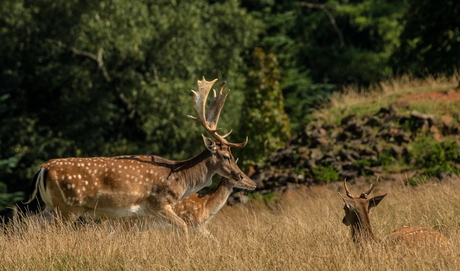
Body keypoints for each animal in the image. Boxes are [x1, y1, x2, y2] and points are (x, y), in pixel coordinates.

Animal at [25, 77, 256, 236]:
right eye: (226, 156)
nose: (243, 178)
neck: (181, 179)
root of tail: (44, 168)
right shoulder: (159, 202)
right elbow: (183, 226)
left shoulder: (144, 214)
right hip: (69, 206)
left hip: (50, 206)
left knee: (30, 223)